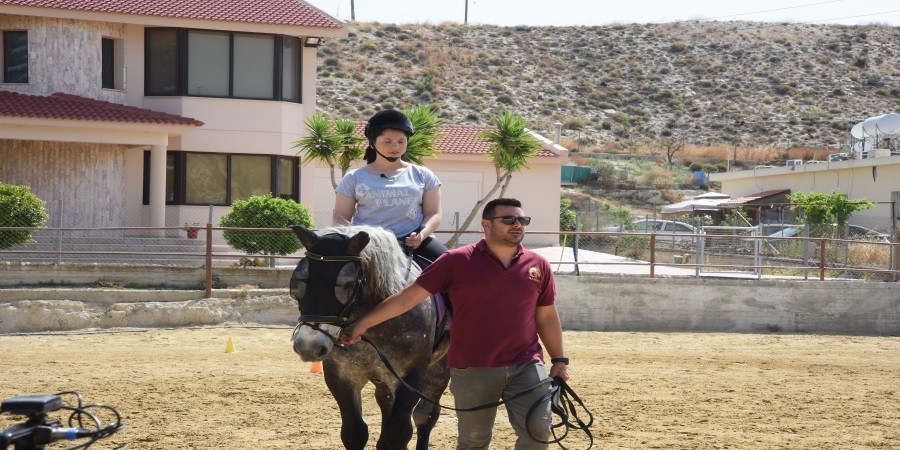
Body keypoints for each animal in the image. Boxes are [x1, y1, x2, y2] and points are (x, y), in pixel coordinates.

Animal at [288, 225, 450, 450]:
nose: (308, 346)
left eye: (347, 284)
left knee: (425, 416)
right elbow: (354, 432)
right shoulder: (341, 376)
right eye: (299, 280)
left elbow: (397, 433)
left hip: (438, 371)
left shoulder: (410, 377)